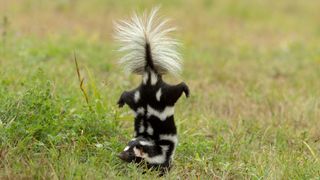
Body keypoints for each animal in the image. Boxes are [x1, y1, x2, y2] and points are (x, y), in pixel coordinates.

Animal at [114, 7, 189, 172]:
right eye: (125, 149)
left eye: (130, 153)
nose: (119, 155)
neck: (153, 144)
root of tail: (150, 76)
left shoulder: (163, 156)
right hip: (143, 97)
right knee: (127, 94)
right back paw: (120, 102)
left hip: (160, 95)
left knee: (179, 87)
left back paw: (187, 91)